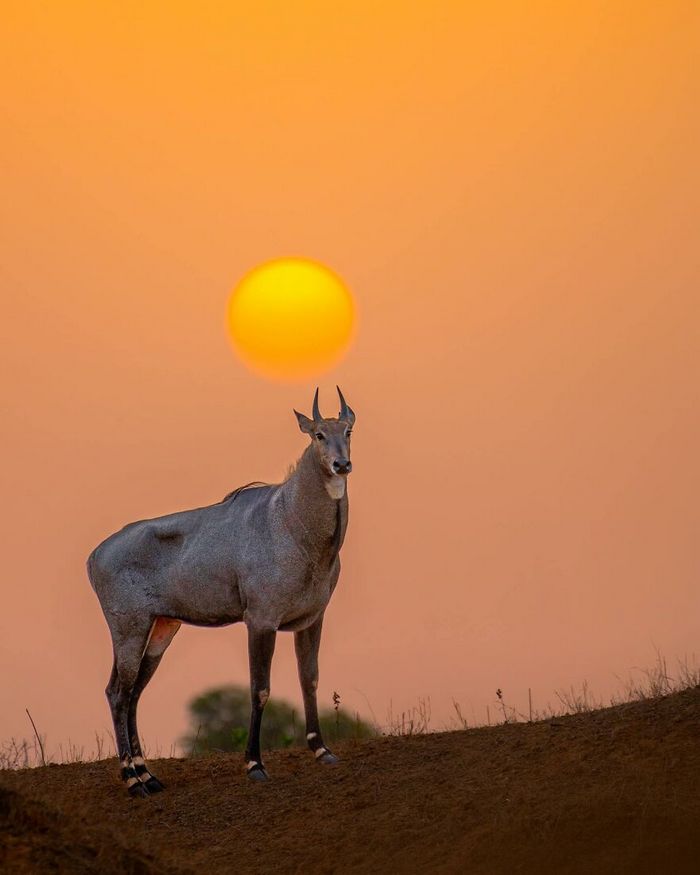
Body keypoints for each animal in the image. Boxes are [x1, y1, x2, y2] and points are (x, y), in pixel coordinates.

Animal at [89, 386, 356, 796]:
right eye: (318, 434)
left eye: (348, 431)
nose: (342, 465)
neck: (295, 526)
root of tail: (94, 556)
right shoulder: (260, 619)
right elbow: (259, 688)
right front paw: (254, 764)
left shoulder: (312, 618)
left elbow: (309, 679)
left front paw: (322, 750)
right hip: (128, 628)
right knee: (117, 692)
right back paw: (133, 782)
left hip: (161, 628)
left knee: (133, 693)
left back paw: (149, 776)